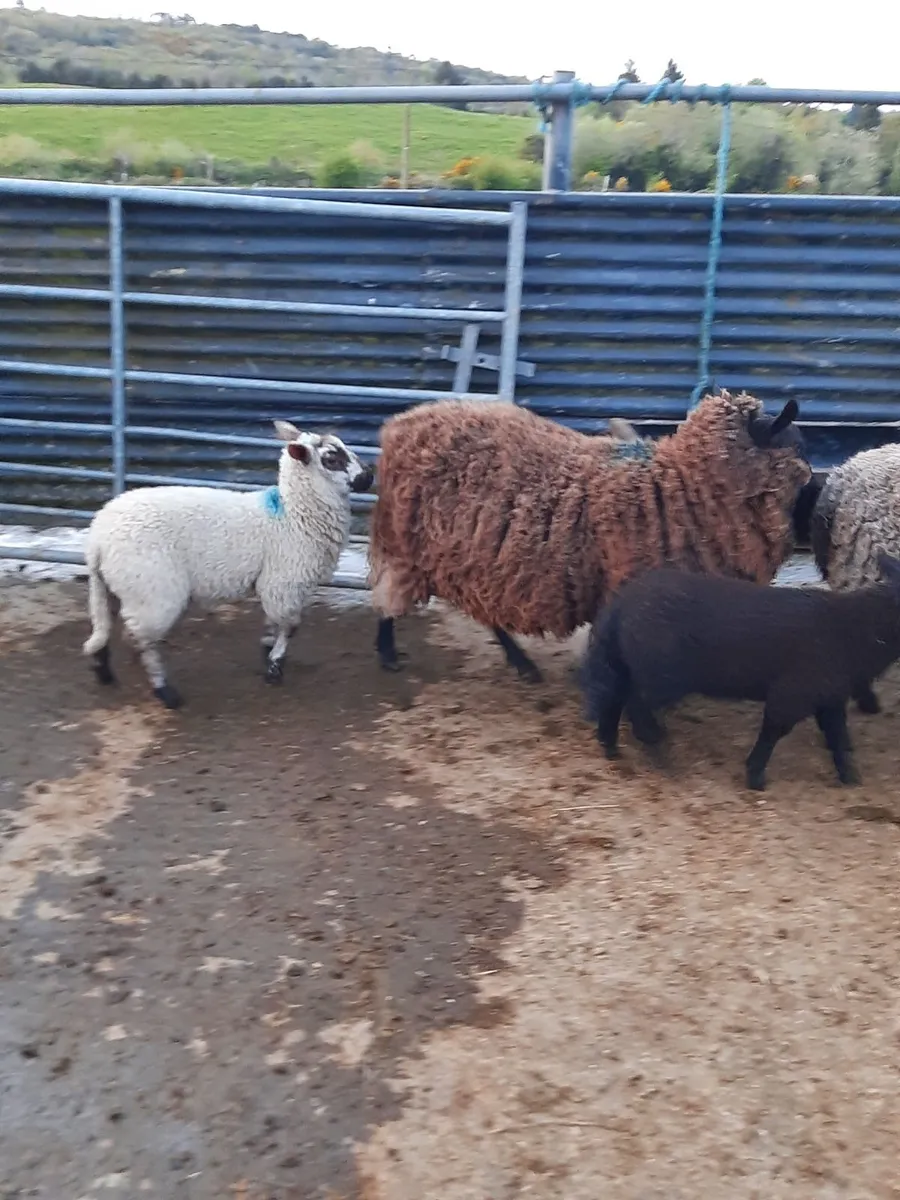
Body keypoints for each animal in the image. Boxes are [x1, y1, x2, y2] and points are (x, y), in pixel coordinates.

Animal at [83, 420, 374, 709]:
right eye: (331, 459)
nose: (369, 476)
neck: (294, 515)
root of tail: (98, 539)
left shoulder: (272, 584)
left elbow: (273, 622)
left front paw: (267, 650)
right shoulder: (283, 582)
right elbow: (290, 626)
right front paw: (274, 666)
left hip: (115, 585)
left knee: (105, 625)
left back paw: (103, 671)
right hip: (153, 590)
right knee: (142, 639)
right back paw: (164, 691)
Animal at [369, 390, 811, 683]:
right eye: (798, 450)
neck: (679, 487)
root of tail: (402, 423)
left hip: (474, 557)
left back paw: (521, 663)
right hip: (407, 544)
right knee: (390, 594)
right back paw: (388, 652)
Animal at [579, 553, 900, 791]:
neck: (859, 629)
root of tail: (620, 605)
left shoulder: (829, 695)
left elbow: (838, 737)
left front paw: (850, 777)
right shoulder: (793, 692)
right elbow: (773, 731)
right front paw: (755, 776)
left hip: (626, 662)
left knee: (614, 698)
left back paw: (610, 746)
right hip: (661, 674)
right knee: (636, 706)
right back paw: (660, 752)